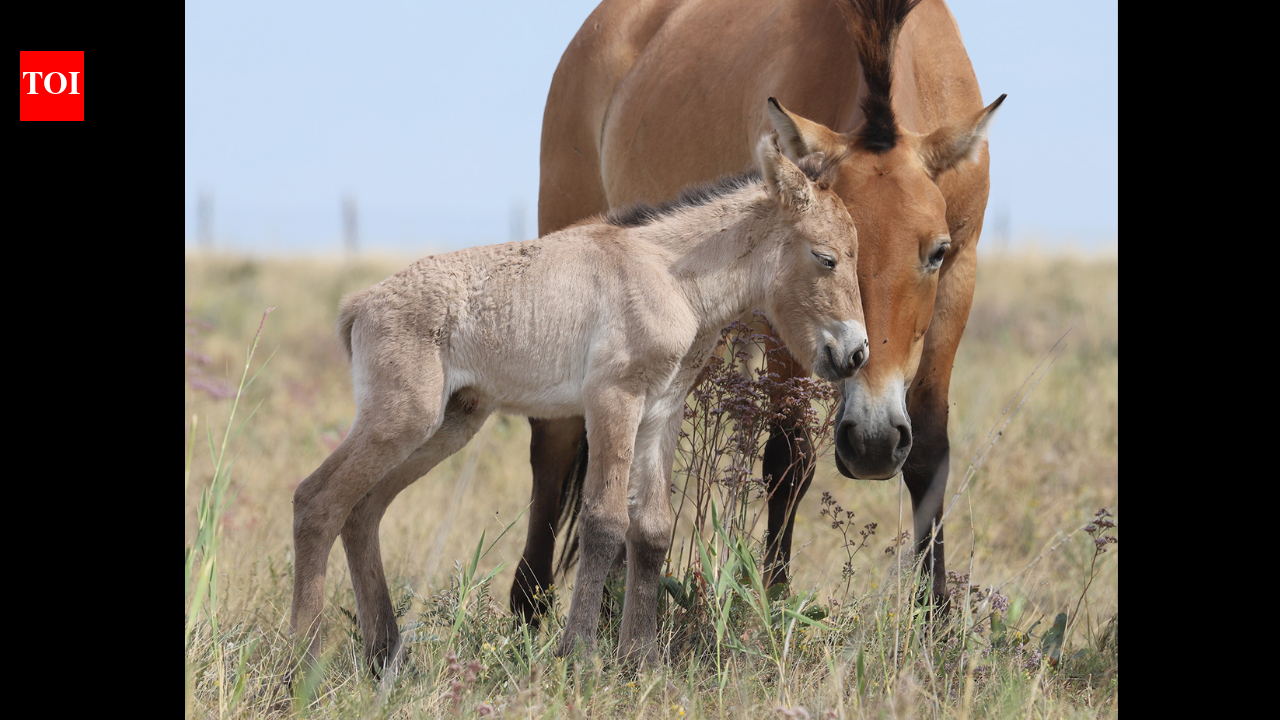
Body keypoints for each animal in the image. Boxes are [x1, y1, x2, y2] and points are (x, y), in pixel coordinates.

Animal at [289, 133, 868, 672]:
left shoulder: (661, 411)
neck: (670, 277)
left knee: (362, 511)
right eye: (825, 257)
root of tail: (360, 304)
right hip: (403, 419)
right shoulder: (613, 398)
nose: (856, 353)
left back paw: (384, 656)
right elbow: (605, 521)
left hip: (448, 425)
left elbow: (652, 529)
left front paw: (642, 661)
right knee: (317, 501)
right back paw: (302, 662)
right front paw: (580, 657)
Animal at [511, 0, 1004, 621]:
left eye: (935, 252)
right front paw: (773, 602)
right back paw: (531, 602)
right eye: (819, 254)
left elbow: (931, 452)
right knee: (553, 442)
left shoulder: (961, 277)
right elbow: (788, 457)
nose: (871, 444)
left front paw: (935, 617)